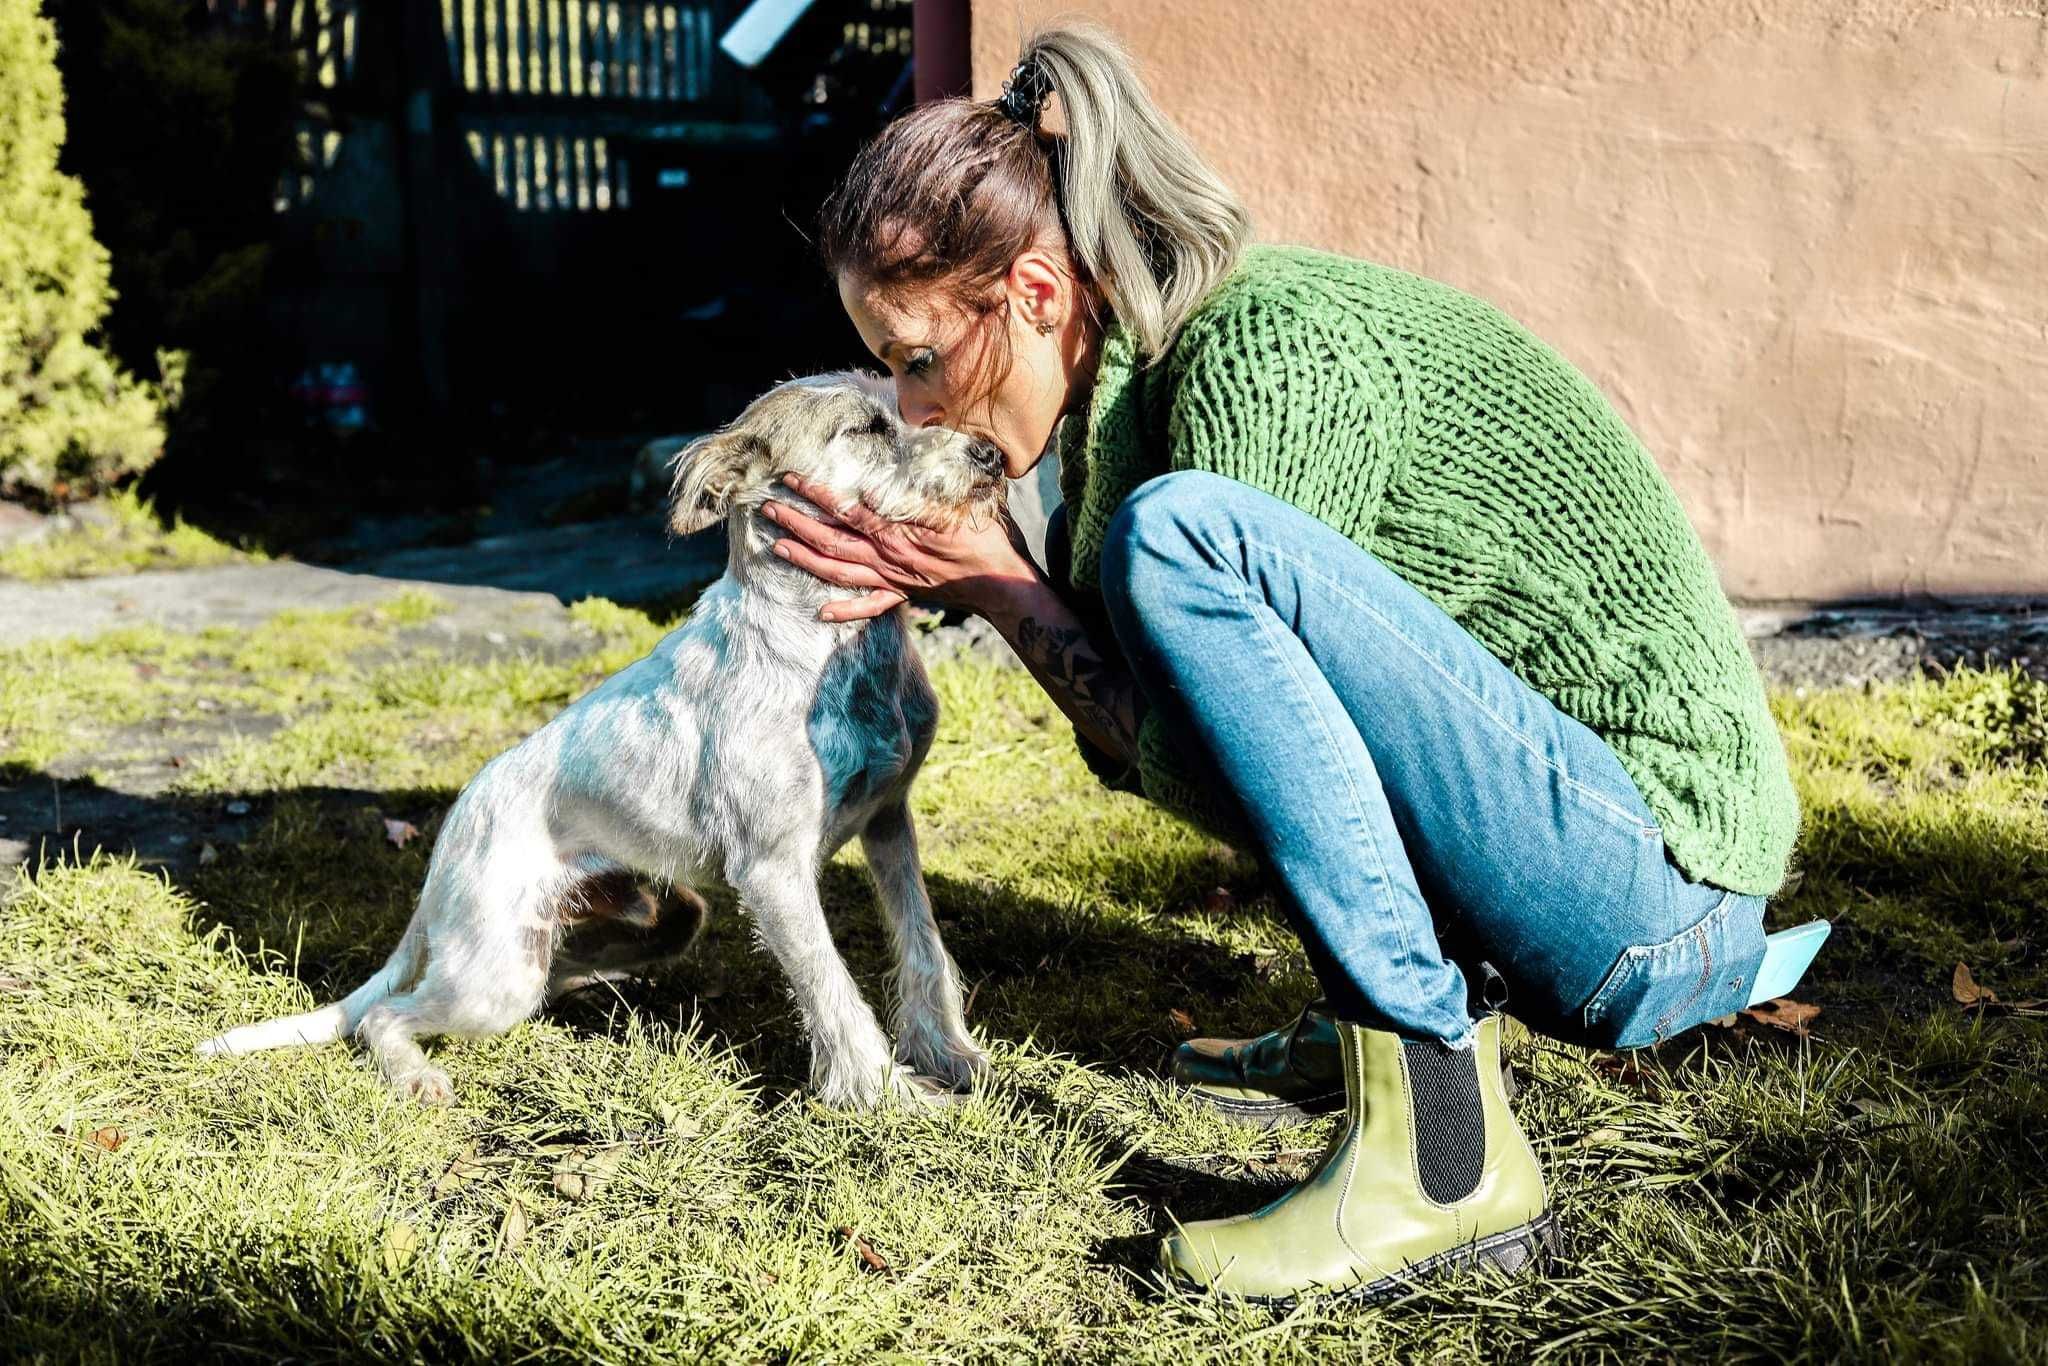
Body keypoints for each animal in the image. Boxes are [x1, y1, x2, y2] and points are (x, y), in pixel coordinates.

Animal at [199, 376, 1007, 1114]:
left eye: (915, 408)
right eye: (867, 428)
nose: (993, 454)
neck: (821, 640)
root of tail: (446, 843)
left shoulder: (888, 820)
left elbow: (922, 943)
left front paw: (951, 1056)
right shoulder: (772, 868)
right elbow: (829, 984)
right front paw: (885, 1095)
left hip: (652, 920)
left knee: (573, 965)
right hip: (496, 976)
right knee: (383, 1015)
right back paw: (416, 1076)